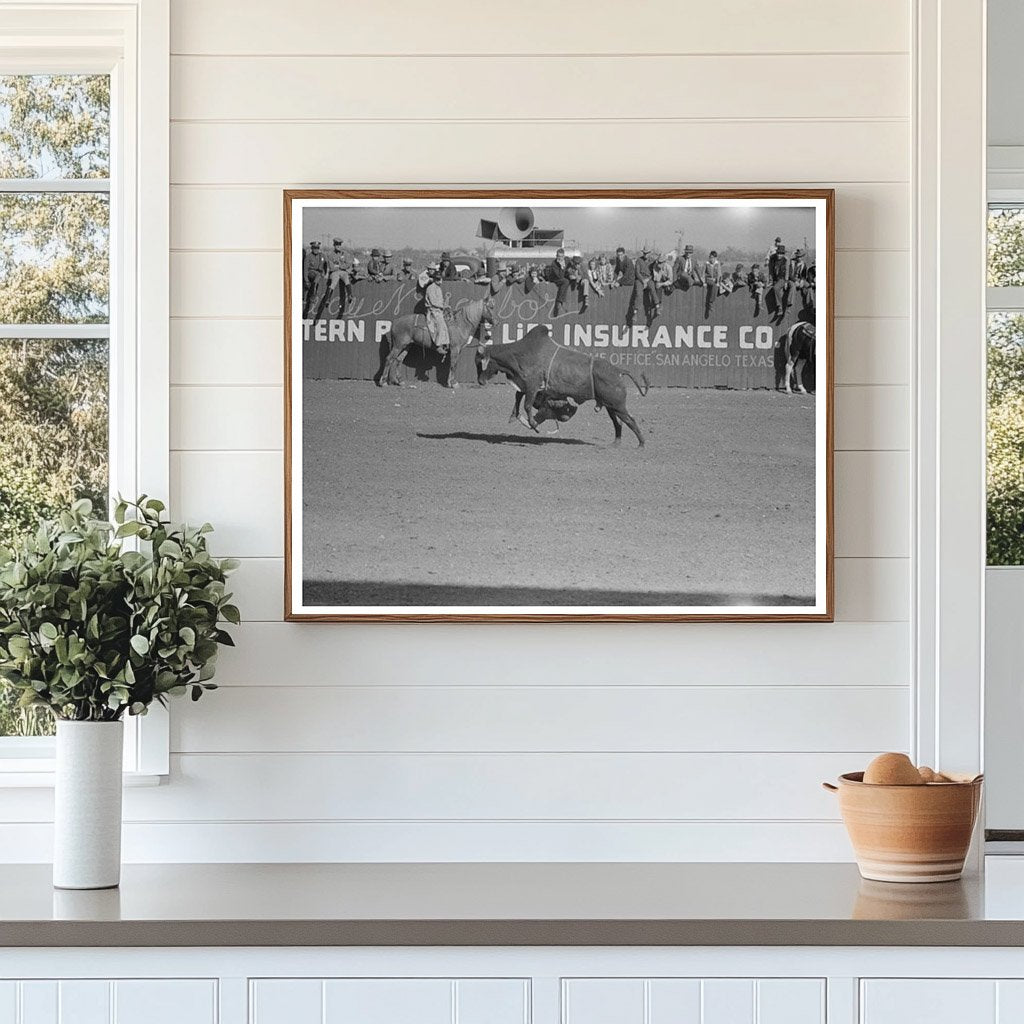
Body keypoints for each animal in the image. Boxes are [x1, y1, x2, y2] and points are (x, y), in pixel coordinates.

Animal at [473, 323, 647, 444]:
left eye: (480, 362)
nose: (480, 381)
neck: (520, 354)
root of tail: (618, 370)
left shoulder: (532, 385)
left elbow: (527, 405)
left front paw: (533, 424)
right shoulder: (526, 385)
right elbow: (518, 397)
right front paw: (514, 417)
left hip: (617, 405)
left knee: (629, 420)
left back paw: (641, 444)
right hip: (610, 406)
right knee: (618, 422)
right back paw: (616, 443)